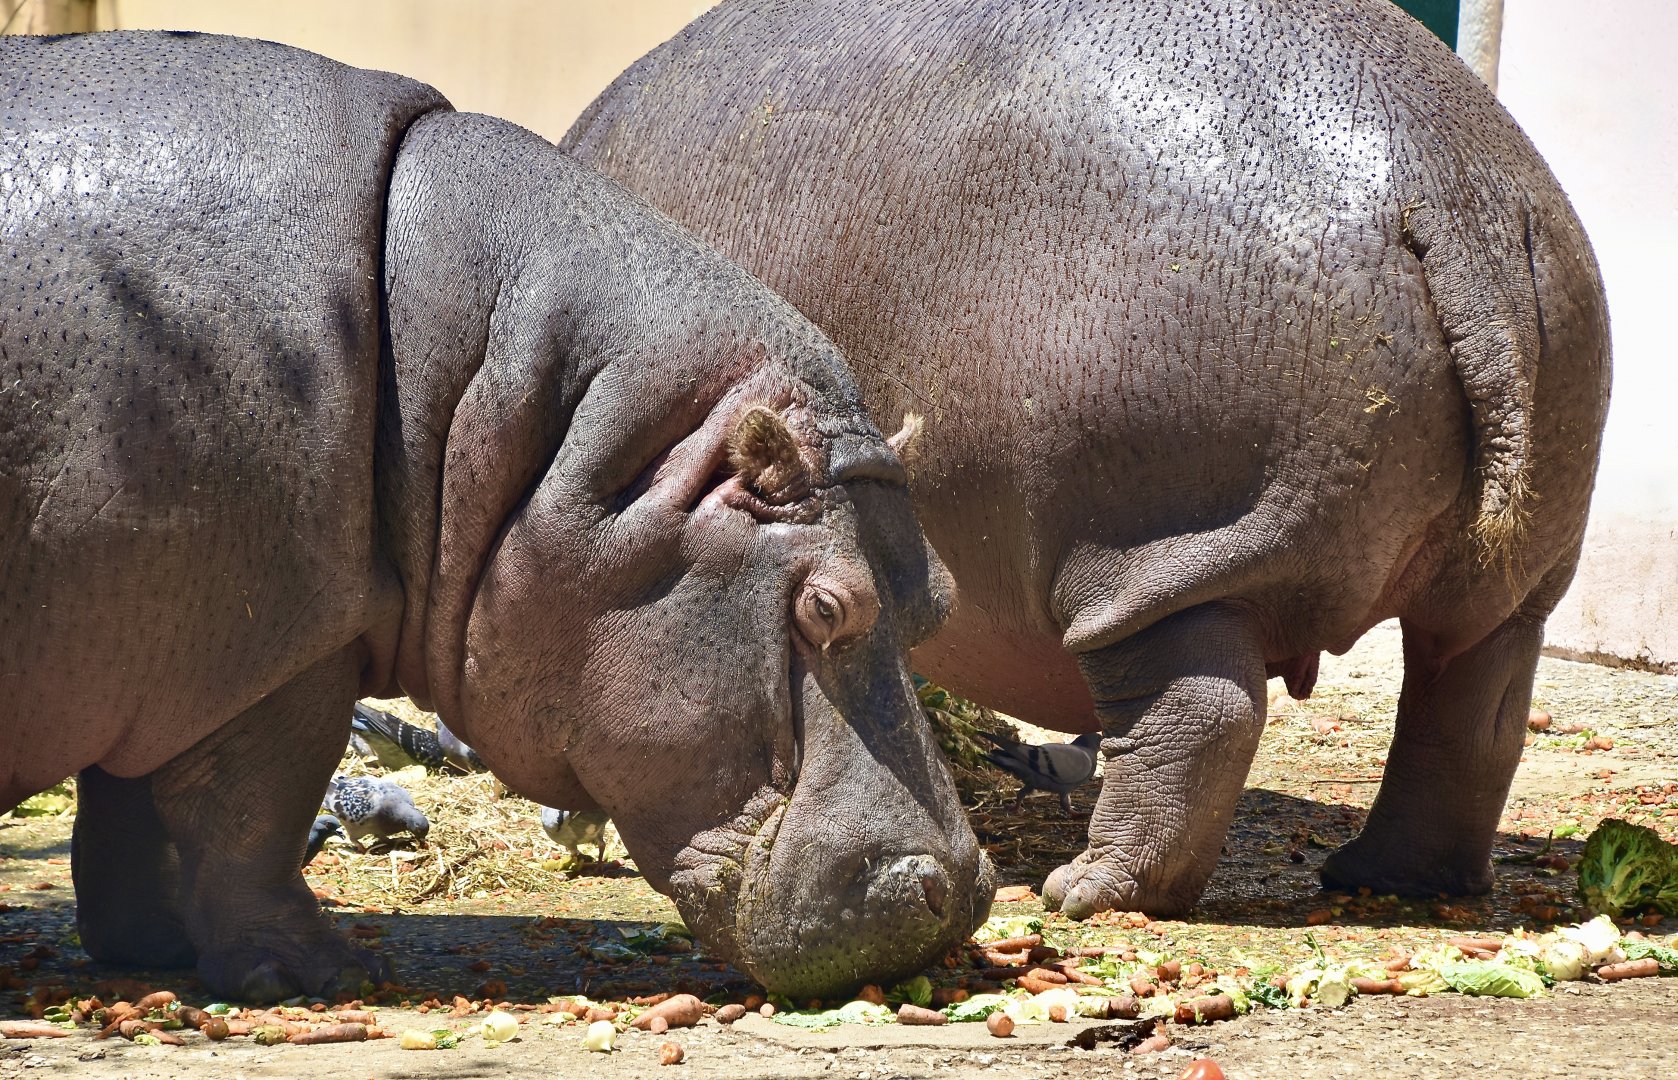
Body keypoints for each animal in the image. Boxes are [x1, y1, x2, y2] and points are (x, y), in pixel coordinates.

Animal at [0, 31, 990, 1001]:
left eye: (940, 598)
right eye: (826, 607)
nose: (963, 891)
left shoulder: (160, 649)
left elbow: (129, 820)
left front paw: (156, 950)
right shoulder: (268, 647)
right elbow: (252, 812)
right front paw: (318, 972)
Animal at [565, 0, 1612, 917]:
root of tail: (1451, 191)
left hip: (1151, 553)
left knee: (1200, 711)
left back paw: (1087, 889)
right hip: (1515, 571)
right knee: (1473, 709)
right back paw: (1392, 879)